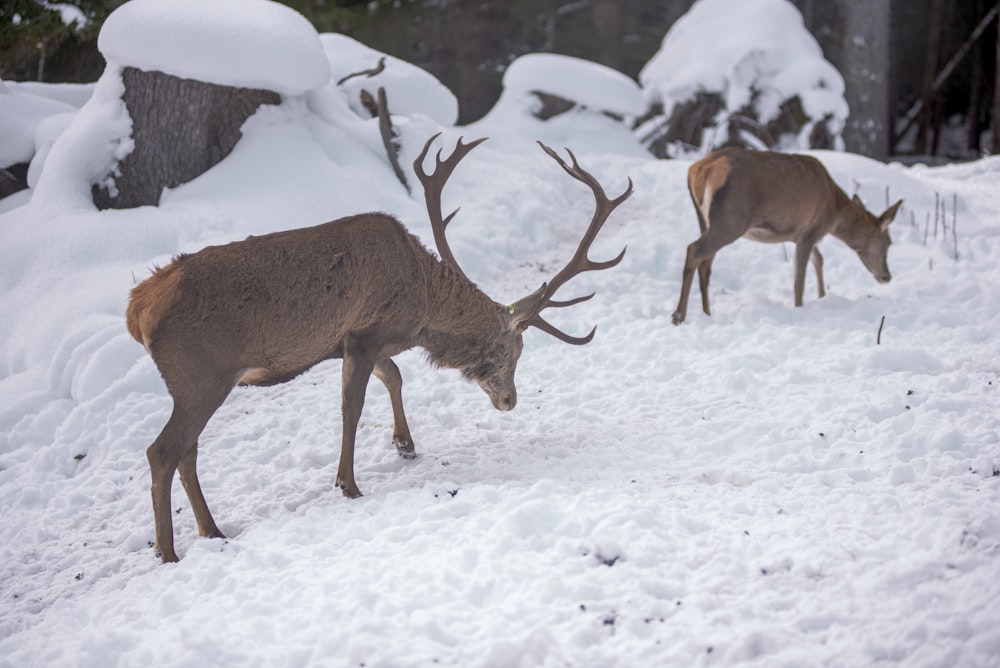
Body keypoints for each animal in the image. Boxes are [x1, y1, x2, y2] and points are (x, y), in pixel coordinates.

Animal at [127, 133, 632, 560]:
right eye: (513, 352)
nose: (510, 400)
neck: (422, 300)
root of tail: (138, 309)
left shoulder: (365, 340)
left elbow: (395, 375)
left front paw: (405, 444)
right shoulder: (364, 335)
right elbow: (352, 406)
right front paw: (348, 484)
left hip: (197, 385)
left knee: (188, 452)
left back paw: (212, 531)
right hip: (200, 376)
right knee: (162, 451)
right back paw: (167, 551)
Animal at [676, 147, 904, 326]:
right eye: (888, 243)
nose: (887, 276)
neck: (834, 213)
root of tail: (697, 171)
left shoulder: (803, 234)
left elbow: (819, 260)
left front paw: (822, 297)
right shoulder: (811, 231)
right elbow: (799, 280)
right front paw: (799, 309)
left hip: (706, 221)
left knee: (705, 265)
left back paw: (706, 313)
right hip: (730, 220)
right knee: (693, 250)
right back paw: (679, 315)